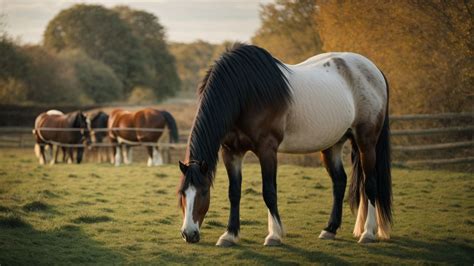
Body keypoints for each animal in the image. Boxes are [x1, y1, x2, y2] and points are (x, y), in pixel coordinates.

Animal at [178, 42, 392, 246]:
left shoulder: (267, 149)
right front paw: (229, 235)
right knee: (340, 182)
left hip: (366, 141)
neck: (245, 93)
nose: (189, 234)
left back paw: (367, 233)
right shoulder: (231, 151)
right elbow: (234, 193)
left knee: (370, 184)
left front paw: (274, 235)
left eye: (203, 192)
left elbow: (269, 192)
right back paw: (330, 229)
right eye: (182, 193)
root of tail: (375, 70)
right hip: (333, 144)